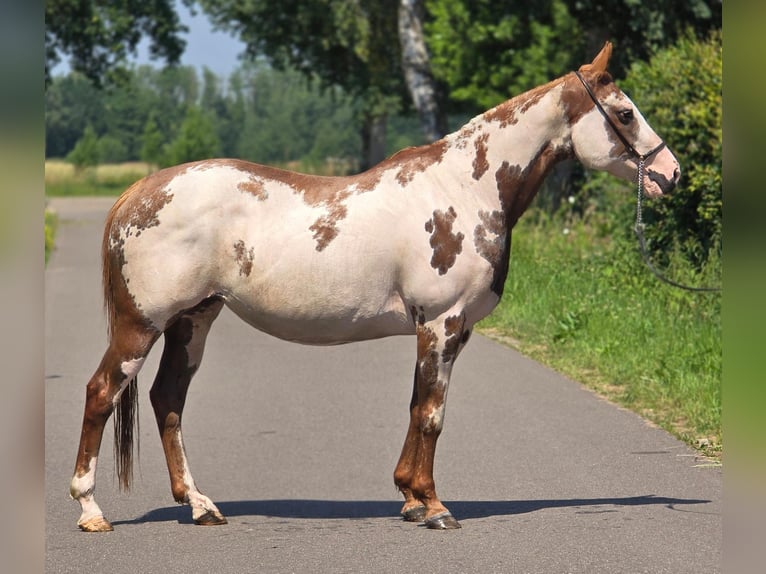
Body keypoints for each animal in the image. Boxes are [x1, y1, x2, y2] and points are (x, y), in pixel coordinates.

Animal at [70, 42, 680, 532]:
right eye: (625, 113)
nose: (669, 175)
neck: (464, 186)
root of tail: (137, 193)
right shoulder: (442, 323)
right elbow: (432, 414)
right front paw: (434, 508)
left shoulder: (441, 330)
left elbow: (416, 407)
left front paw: (410, 498)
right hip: (142, 324)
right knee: (102, 393)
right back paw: (91, 511)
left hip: (194, 319)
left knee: (167, 400)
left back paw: (200, 505)